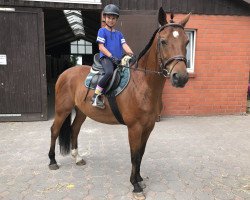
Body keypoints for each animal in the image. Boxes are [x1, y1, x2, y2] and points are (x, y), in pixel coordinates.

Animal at [47, 7, 190, 199]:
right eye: (163, 41)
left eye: (187, 42)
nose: (180, 77)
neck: (142, 84)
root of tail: (65, 73)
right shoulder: (134, 127)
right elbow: (134, 155)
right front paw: (135, 186)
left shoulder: (148, 127)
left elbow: (141, 154)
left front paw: (140, 179)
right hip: (63, 109)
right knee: (54, 130)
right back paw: (52, 161)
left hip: (82, 111)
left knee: (74, 130)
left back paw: (77, 158)